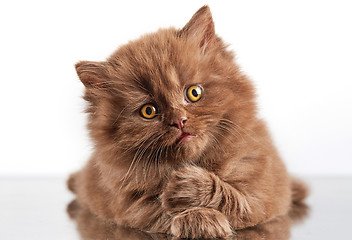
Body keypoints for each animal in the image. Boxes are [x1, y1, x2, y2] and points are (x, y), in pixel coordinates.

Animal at [68, 5, 308, 238]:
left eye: (194, 93)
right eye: (148, 111)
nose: (179, 121)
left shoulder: (261, 195)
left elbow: (236, 198)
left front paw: (189, 188)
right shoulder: (131, 205)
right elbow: (159, 210)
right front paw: (198, 219)